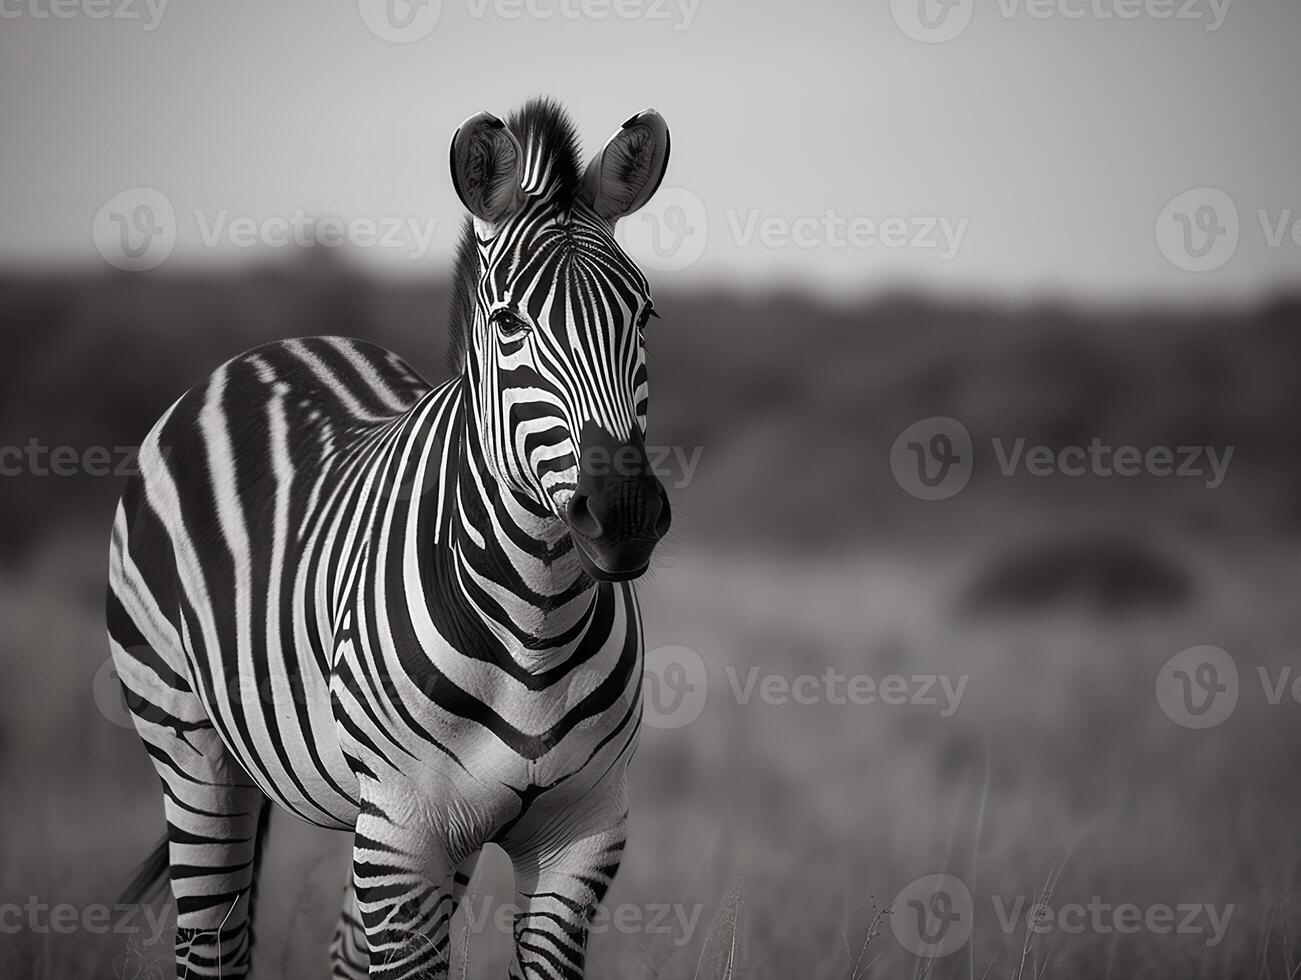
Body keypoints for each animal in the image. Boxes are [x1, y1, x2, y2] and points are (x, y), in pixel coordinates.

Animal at [107, 95, 676, 973]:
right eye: (508, 322)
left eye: (642, 314)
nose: (624, 516)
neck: (537, 622)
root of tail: (273, 351)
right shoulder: (404, 835)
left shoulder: (582, 836)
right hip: (191, 750)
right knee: (211, 943)